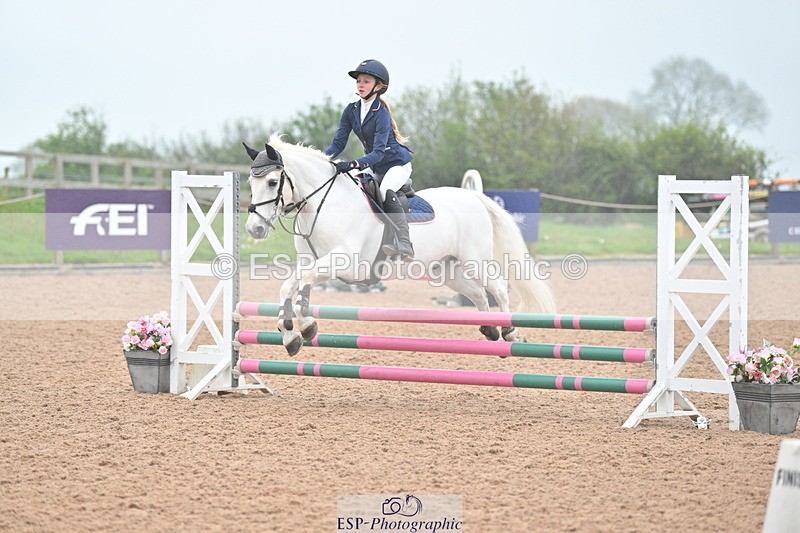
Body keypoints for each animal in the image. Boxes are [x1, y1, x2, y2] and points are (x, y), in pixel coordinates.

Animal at [243, 135, 556, 356]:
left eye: (272, 182)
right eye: (250, 181)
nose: (254, 229)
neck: (324, 205)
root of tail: (475, 197)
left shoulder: (345, 263)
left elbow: (301, 283)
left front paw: (306, 327)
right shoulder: (316, 263)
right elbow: (291, 286)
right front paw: (291, 335)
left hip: (475, 261)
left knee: (499, 288)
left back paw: (509, 332)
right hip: (448, 270)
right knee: (479, 294)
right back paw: (490, 330)